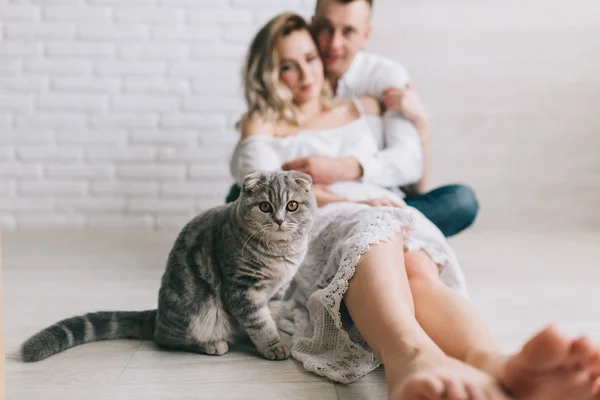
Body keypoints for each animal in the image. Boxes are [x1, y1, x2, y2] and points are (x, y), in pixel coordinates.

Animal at [20, 170, 316, 364]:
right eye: (265, 206)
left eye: (292, 205)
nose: (279, 220)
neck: (280, 251)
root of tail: (158, 312)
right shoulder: (242, 288)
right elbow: (260, 322)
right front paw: (273, 346)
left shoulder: (278, 290)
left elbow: (271, 314)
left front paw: (278, 334)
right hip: (199, 311)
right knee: (166, 338)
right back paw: (212, 344)